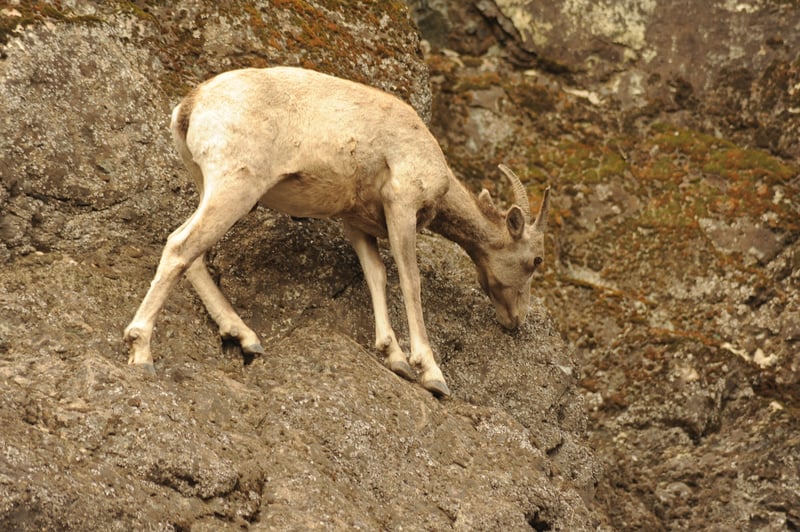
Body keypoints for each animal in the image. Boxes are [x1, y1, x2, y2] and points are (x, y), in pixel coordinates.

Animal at [124, 66, 550, 397]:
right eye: (536, 260)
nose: (516, 320)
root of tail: (190, 106)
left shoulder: (356, 223)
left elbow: (376, 275)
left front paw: (394, 358)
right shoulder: (402, 205)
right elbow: (409, 280)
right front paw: (432, 375)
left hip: (208, 187)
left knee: (191, 253)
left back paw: (246, 337)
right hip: (235, 188)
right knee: (180, 246)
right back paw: (141, 353)